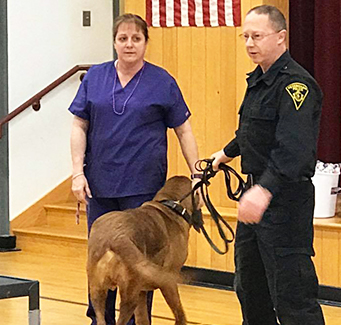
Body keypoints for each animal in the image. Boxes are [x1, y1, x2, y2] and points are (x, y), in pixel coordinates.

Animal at [87, 176, 197, 322]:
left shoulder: (142, 292)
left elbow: (142, 318)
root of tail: (115, 238)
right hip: (129, 296)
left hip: (97, 293)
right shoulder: (169, 283)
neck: (171, 206)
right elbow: (179, 313)